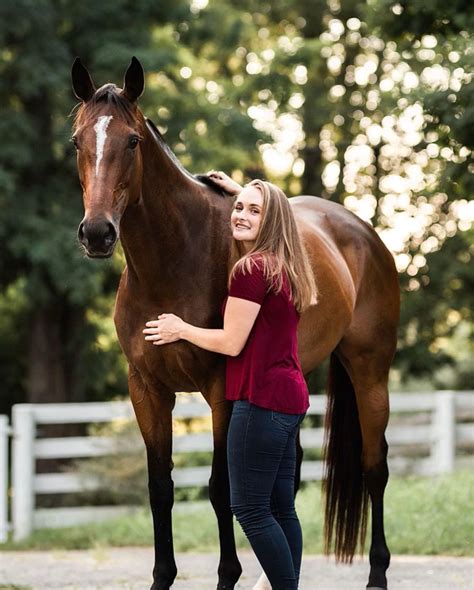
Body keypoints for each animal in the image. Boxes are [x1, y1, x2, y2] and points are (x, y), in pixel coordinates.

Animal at [71, 56, 400, 590]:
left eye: (133, 141)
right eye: (78, 141)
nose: (97, 233)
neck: (175, 259)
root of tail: (362, 230)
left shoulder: (221, 389)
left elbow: (221, 487)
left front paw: (228, 575)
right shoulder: (146, 389)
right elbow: (160, 486)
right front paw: (162, 577)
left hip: (370, 373)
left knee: (375, 468)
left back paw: (377, 574)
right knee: (288, 478)